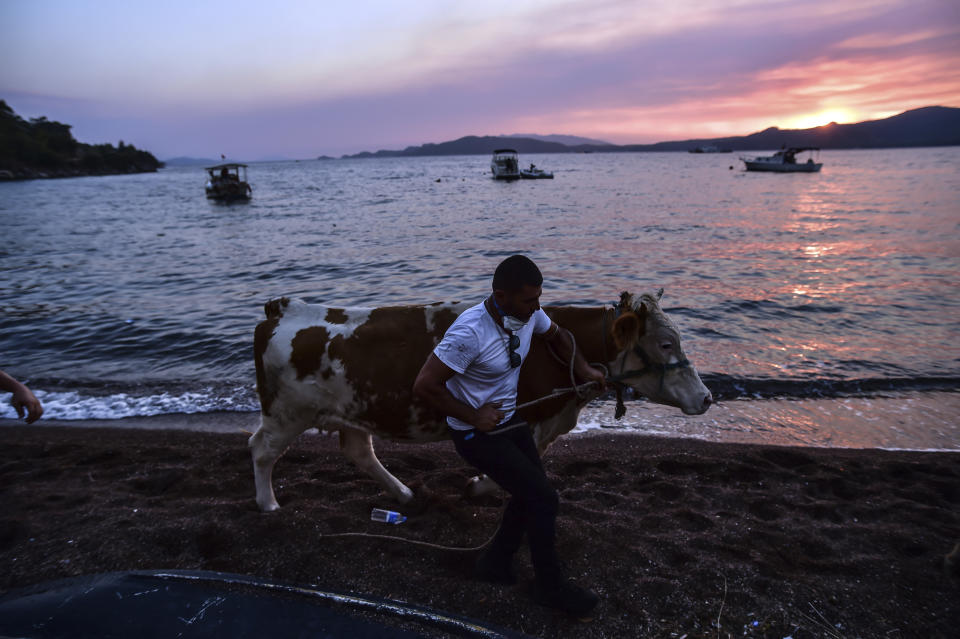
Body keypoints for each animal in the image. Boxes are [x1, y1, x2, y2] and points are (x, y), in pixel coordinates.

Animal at [249, 290, 712, 510]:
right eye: (666, 343)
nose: (707, 397)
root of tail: (284, 307)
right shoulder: (528, 418)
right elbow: (522, 467)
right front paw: (477, 486)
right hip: (287, 413)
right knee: (261, 449)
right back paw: (268, 503)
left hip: (351, 409)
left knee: (359, 451)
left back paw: (404, 495)